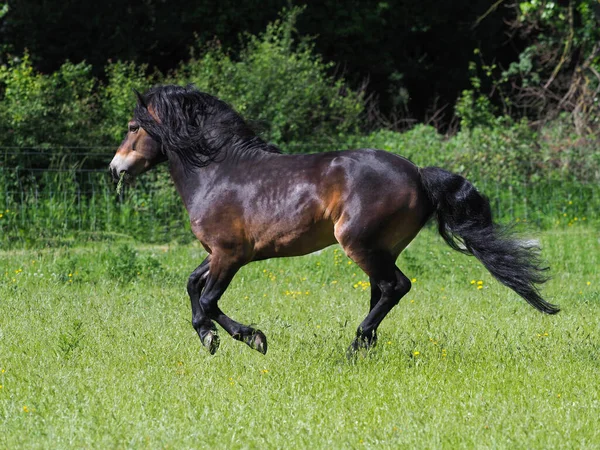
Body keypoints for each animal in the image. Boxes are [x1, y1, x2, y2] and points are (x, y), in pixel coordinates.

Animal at [106, 84, 556, 356]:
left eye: (132, 126)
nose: (115, 169)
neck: (218, 170)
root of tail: (417, 172)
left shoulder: (230, 255)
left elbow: (208, 301)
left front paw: (235, 338)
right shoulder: (220, 253)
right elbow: (192, 286)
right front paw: (229, 336)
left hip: (358, 243)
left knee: (395, 286)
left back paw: (354, 347)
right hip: (381, 248)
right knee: (382, 291)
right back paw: (366, 345)